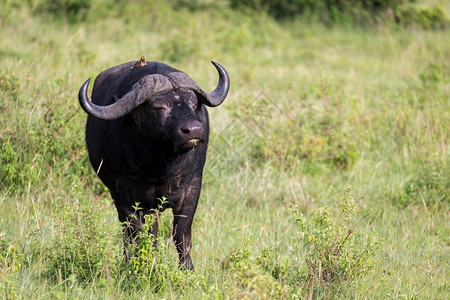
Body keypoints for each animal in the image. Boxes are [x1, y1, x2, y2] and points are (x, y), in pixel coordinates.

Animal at [77, 58, 229, 270]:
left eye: (193, 103)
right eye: (159, 107)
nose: (194, 130)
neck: (159, 167)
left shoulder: (192, 187)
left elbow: (182, 233)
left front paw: (187, 269)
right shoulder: (122, 194)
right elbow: (138, 232)